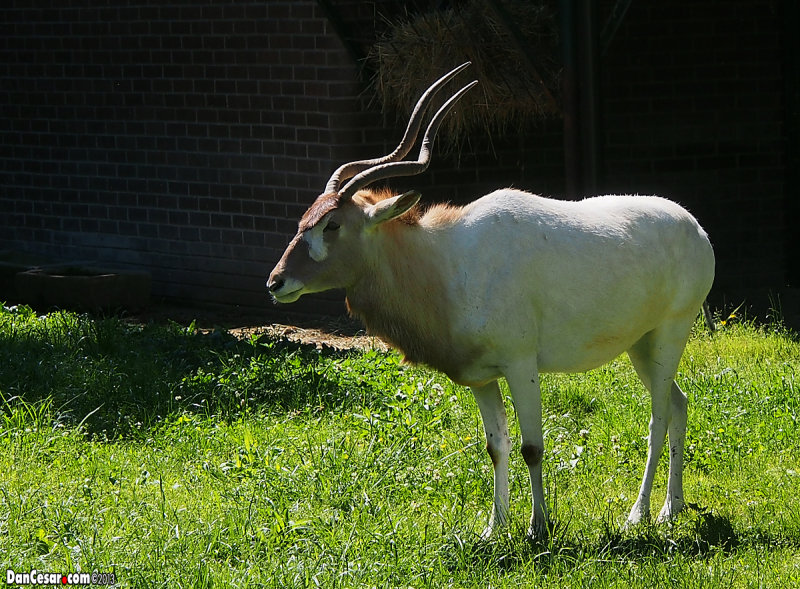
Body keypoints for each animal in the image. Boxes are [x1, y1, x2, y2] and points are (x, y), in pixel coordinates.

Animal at [268, 62, 712, 536]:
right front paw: (493, 527)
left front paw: (539, 527)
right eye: (306, 218)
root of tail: (695, 227)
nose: (276, 282)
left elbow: (532, 446)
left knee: (659, 417)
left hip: (670, 333)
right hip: (640, 345)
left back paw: (639, 513)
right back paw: (672, 508)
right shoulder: (481, 377)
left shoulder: (521, 365)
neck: (447, 261)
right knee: (679, 405)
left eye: (331, 225)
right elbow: (496, 446)